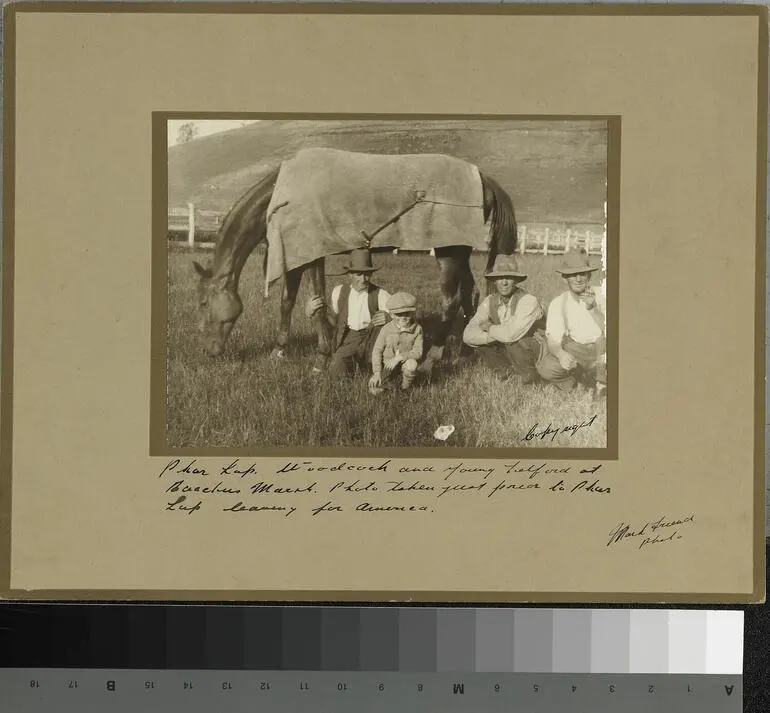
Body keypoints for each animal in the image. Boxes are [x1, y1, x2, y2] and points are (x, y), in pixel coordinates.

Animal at [191, 152, 516, 370]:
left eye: (204, 303)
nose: (209, 351)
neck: (282, 196)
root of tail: (482, 177)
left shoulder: (309, 253)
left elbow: (310, 299)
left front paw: (321, 350)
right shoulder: (299, 253)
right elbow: (293, 300)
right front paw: (284, 349)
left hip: (449, 252)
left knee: (451, 300)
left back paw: (433, 356)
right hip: (460, 253)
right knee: (471, 293)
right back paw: (467, 351)